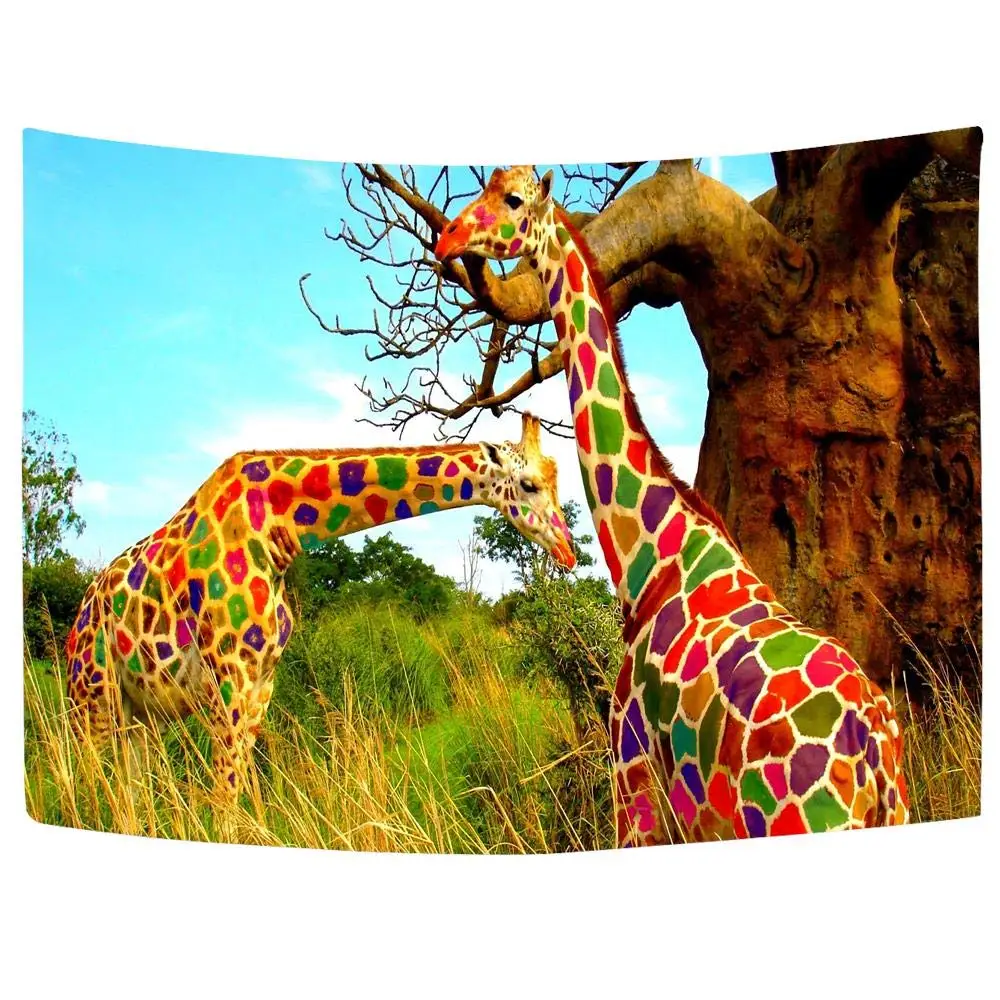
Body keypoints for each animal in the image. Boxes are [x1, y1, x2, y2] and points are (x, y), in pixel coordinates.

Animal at [65, 412, 576, 801]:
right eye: (529, 484)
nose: (569, 552)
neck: (276, 527)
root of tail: (79, 619)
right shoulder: (227, 678)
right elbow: (223, 798)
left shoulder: (261, 683)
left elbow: (243, 793)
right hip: (91, 702)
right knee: (90, 788)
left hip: (140, 716)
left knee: (129, 793)